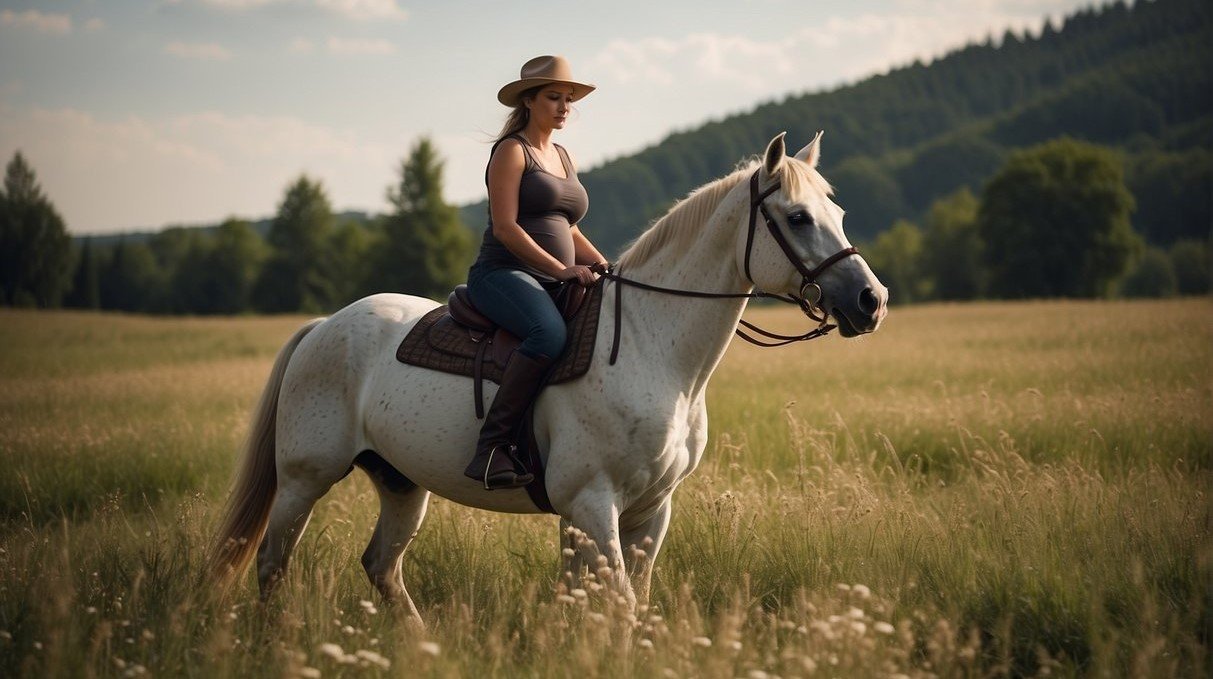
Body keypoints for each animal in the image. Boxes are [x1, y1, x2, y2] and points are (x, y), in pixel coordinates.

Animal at [211, 129, 892, 618]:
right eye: (798, 217)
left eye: (836, 210)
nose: (871, 300)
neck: (651, 347)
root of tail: (324, 325)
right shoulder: (592, 504)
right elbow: (619, 607)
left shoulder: (648, 512)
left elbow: (609, 602)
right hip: (304, 478)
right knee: (272, 564)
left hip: (401, 484)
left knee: (381, 566)